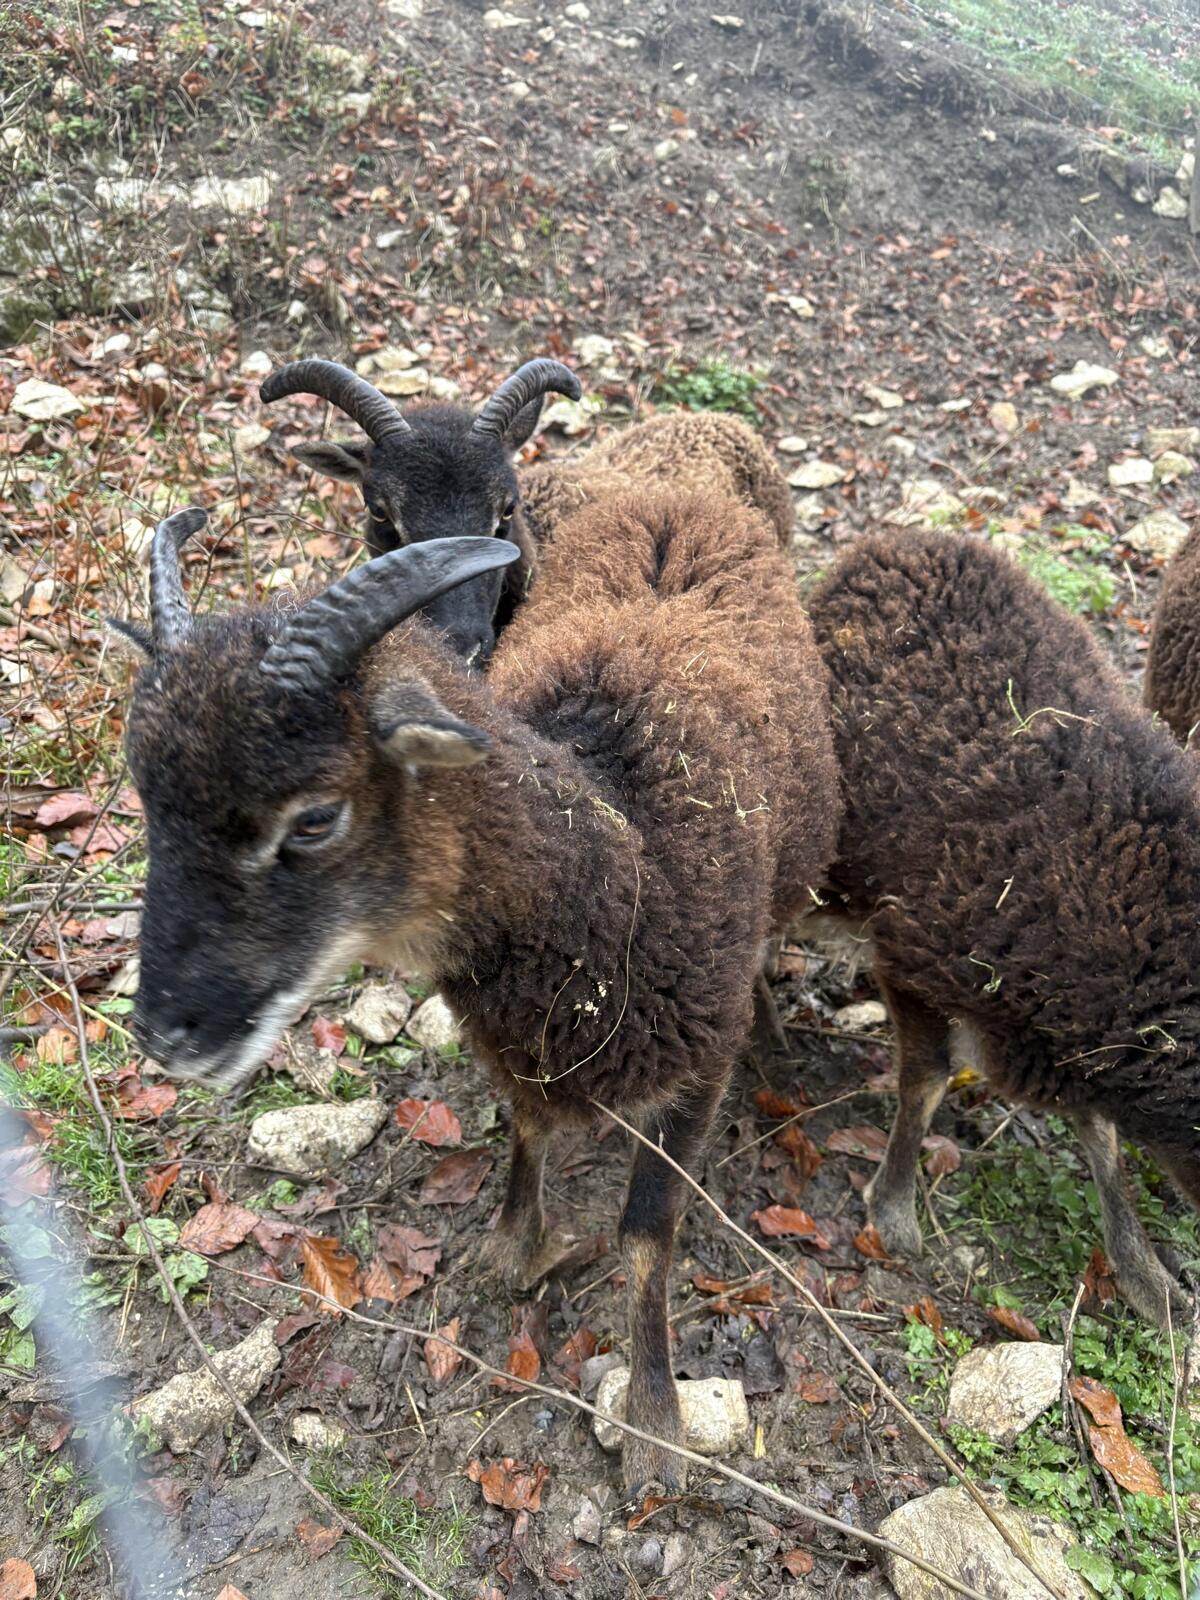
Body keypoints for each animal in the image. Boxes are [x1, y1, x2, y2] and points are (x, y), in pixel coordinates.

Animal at [120, 493, 841, 1491]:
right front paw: (511, 1243)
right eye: (146, 800)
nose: (165, 1033)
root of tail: (679, 501)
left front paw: (655, 1423)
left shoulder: (695, 1067)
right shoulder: (515, 1041)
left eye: (315, 818)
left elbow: (647, 1234)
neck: (624, 854)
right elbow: (529, 1130)